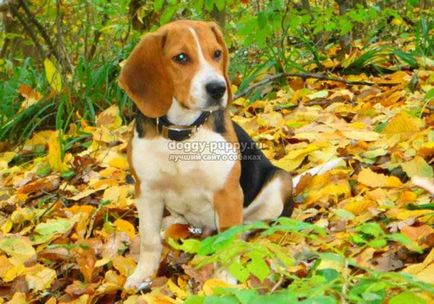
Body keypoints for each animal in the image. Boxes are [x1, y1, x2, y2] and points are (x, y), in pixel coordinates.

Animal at [118, 19, 294, 290]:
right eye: (180, 57)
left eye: (217, 53)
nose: (218, 88)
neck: (182, 133)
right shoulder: (146, 191)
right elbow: (149, 240)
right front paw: (143, 275)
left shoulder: (227, 192)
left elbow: (229, 238)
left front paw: (225, 277)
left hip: (279, 184)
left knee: (251, 223)